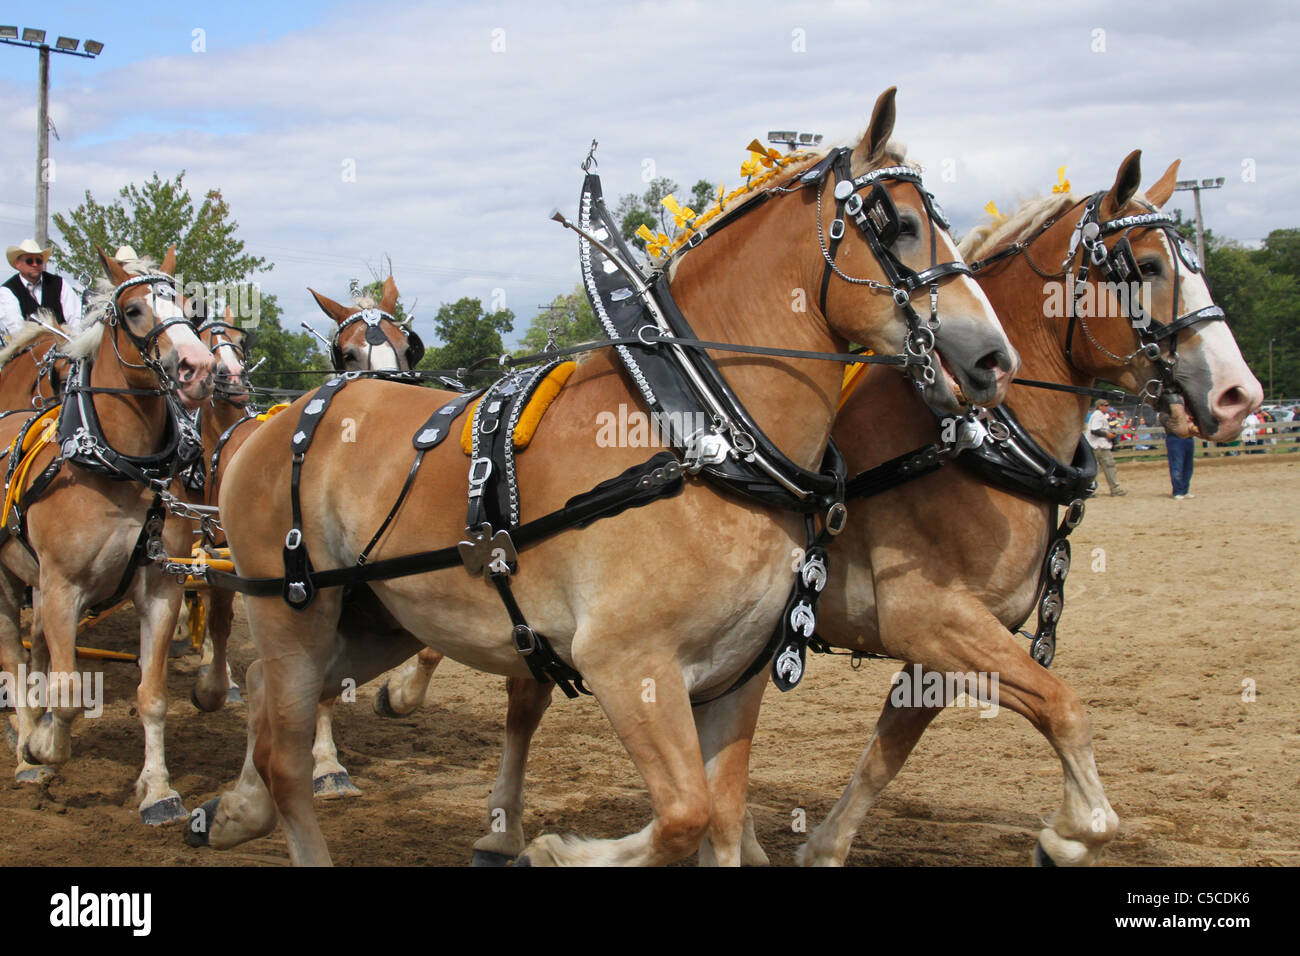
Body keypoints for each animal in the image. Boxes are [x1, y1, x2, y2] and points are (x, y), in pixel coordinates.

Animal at [0, 251, 215, 827]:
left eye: (187, 303)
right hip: (9, 585)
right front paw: (44, 747)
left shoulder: (161, 589)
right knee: (13, 657)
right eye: (135, 310)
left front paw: (158, 789)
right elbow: (70, 694)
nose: (200, 368)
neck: (118, 465)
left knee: (35, 653)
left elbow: (152, 694)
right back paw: (26, 750)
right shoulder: (63, 589)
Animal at [195, 89, 1013, 868]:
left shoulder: (736, 680)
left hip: (377, 621)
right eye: (897, 223)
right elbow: (683, 816)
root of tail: (273, 422)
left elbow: (720, 824)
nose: (994, 358)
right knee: (285, 752)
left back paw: (234, 811)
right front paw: (549, 849)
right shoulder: (628, 666)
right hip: (294, 609)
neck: (699, 436)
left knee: (269, 698)